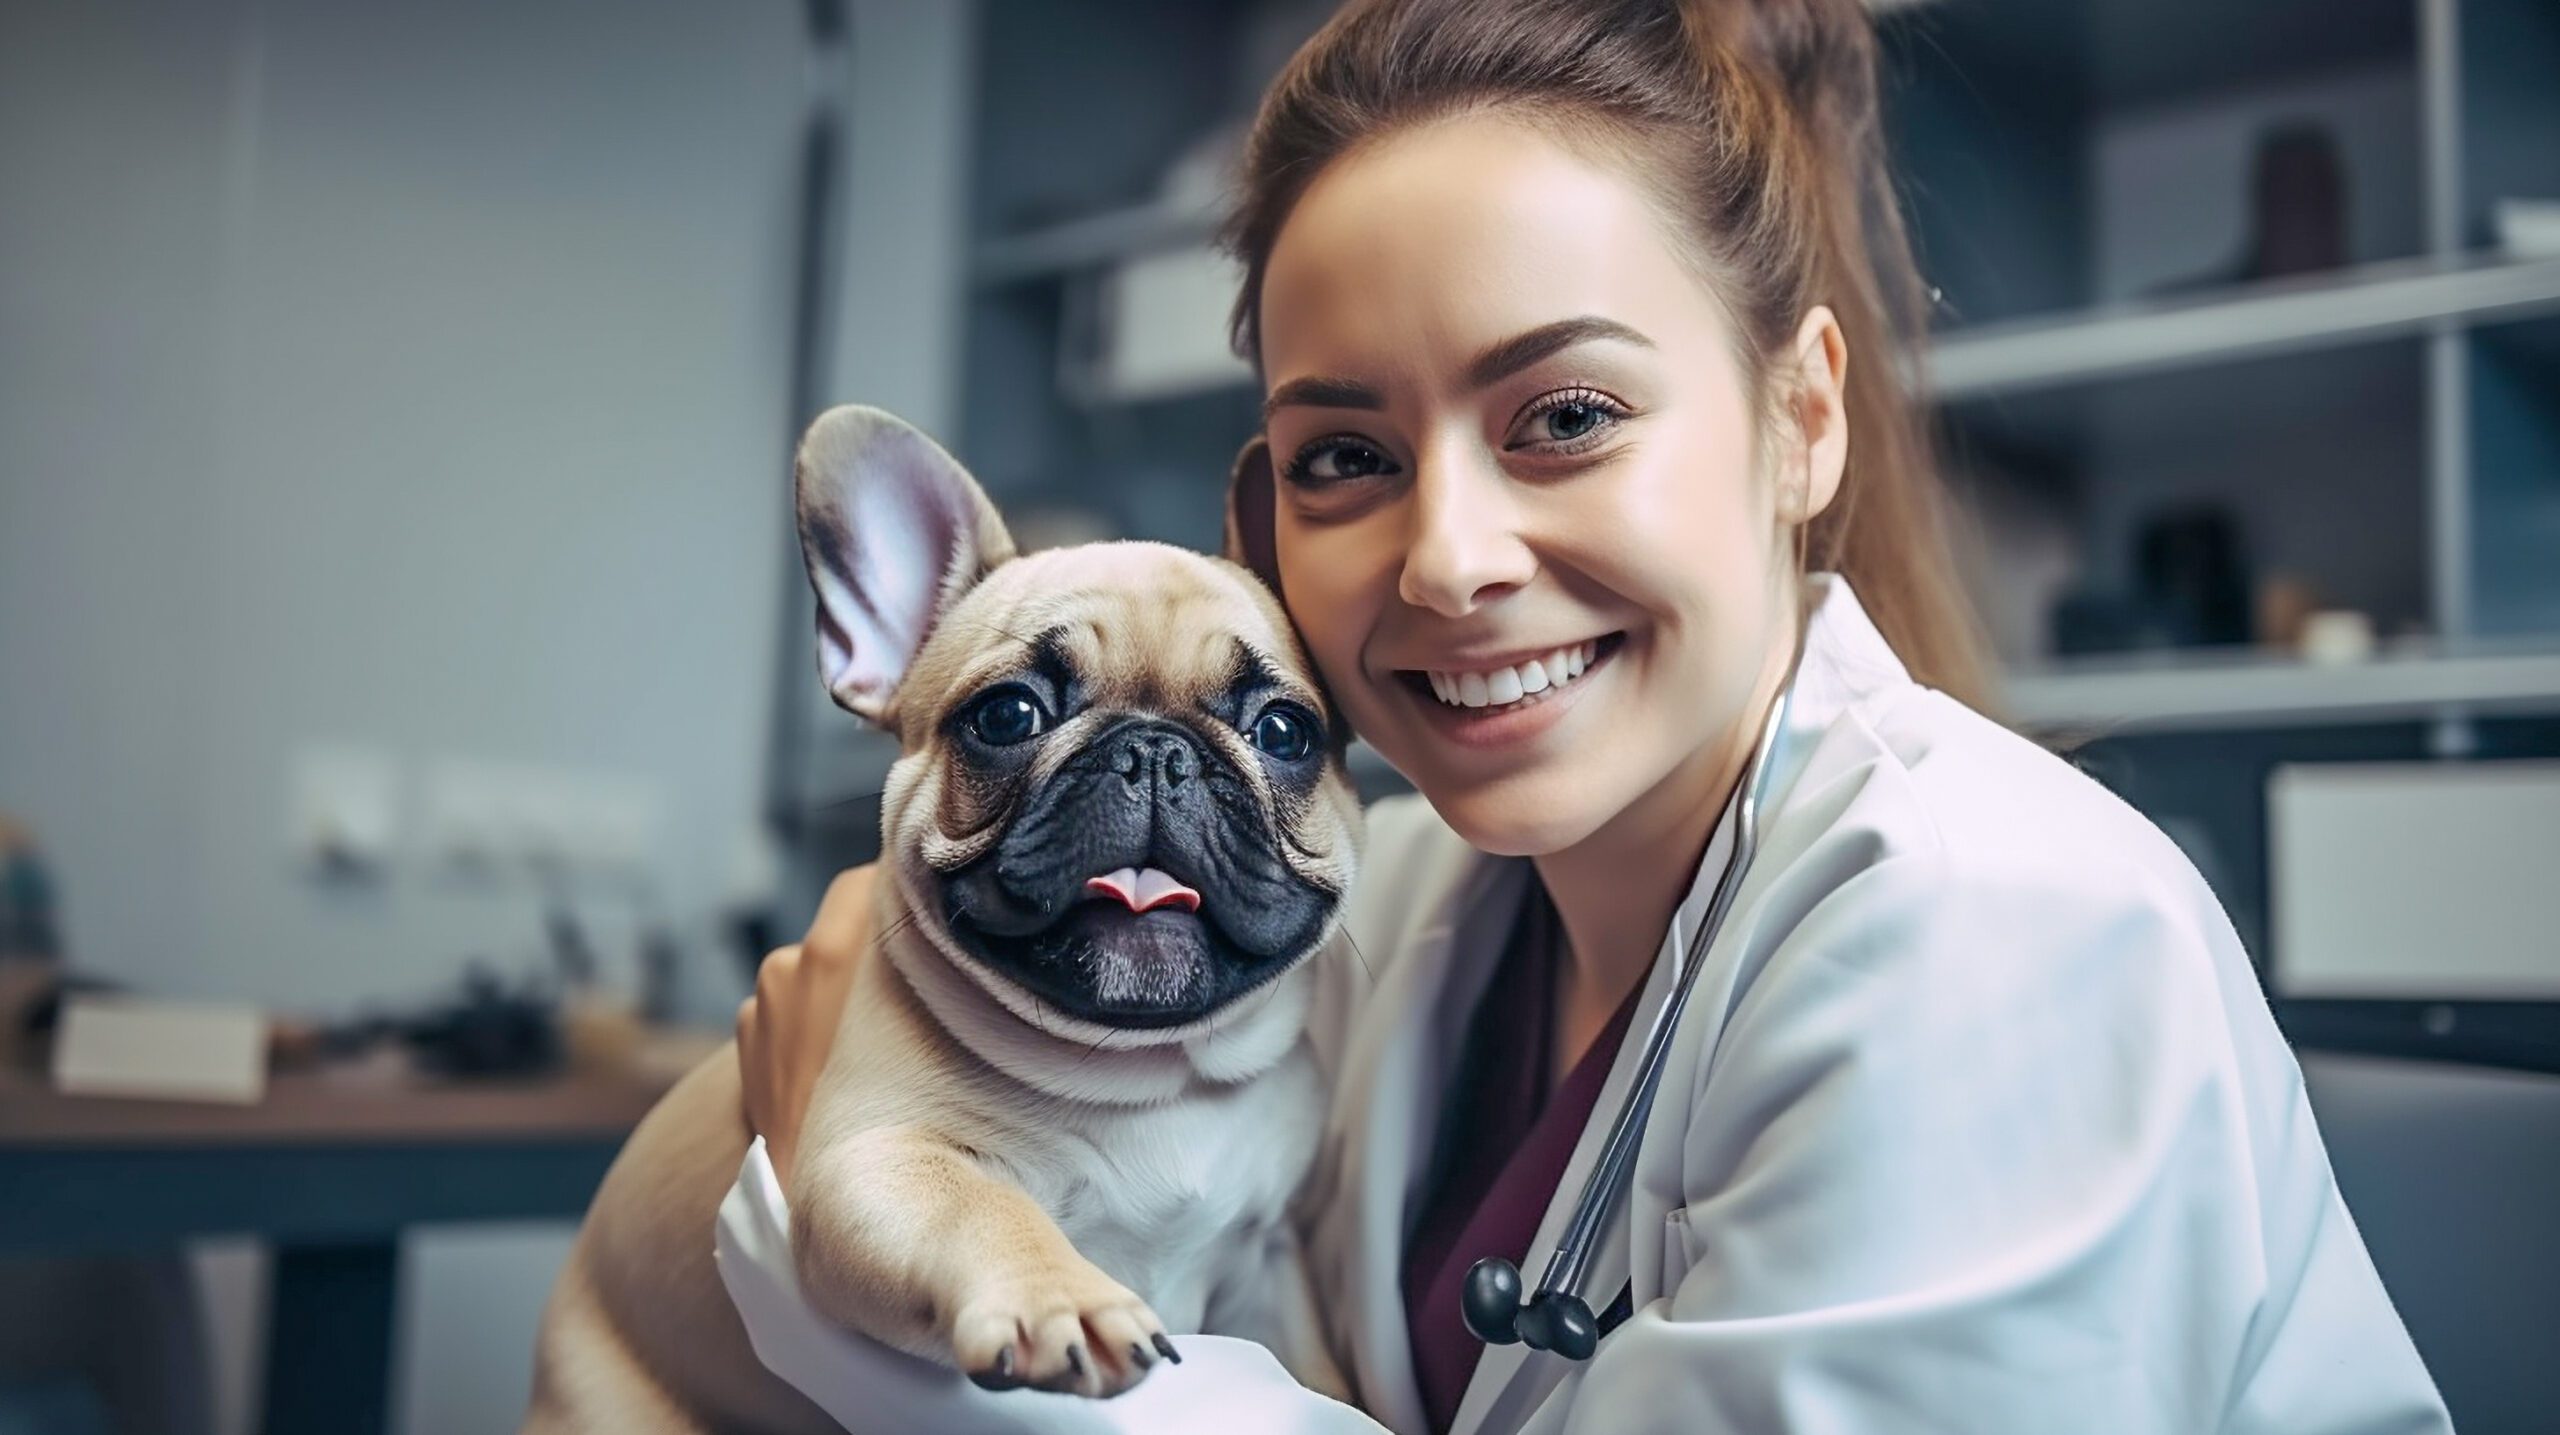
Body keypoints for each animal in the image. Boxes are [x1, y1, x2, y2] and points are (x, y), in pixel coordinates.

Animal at [519, 406, 1361, 1432]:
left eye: (1285, 731)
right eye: (1006, 716)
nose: (1155, 750)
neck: (1150, 1075)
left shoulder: (1267, 1263)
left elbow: (1311, 1367)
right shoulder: (879, 1163)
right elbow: (983, 1209)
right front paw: (1061, 1298)